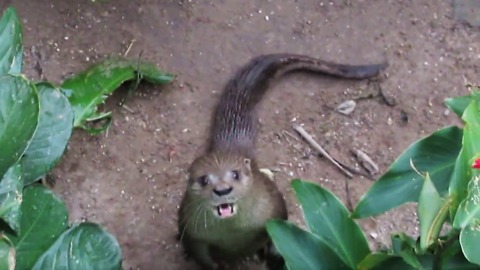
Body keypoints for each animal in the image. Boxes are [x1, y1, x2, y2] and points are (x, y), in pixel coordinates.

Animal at [176, 53, 386, 270]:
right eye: (203, 179)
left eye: (235, 174)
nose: (222, 189)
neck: (233, 234)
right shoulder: (191, 230)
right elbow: (200, 255)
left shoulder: (274, 208)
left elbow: (281, 228)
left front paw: (276, 254)